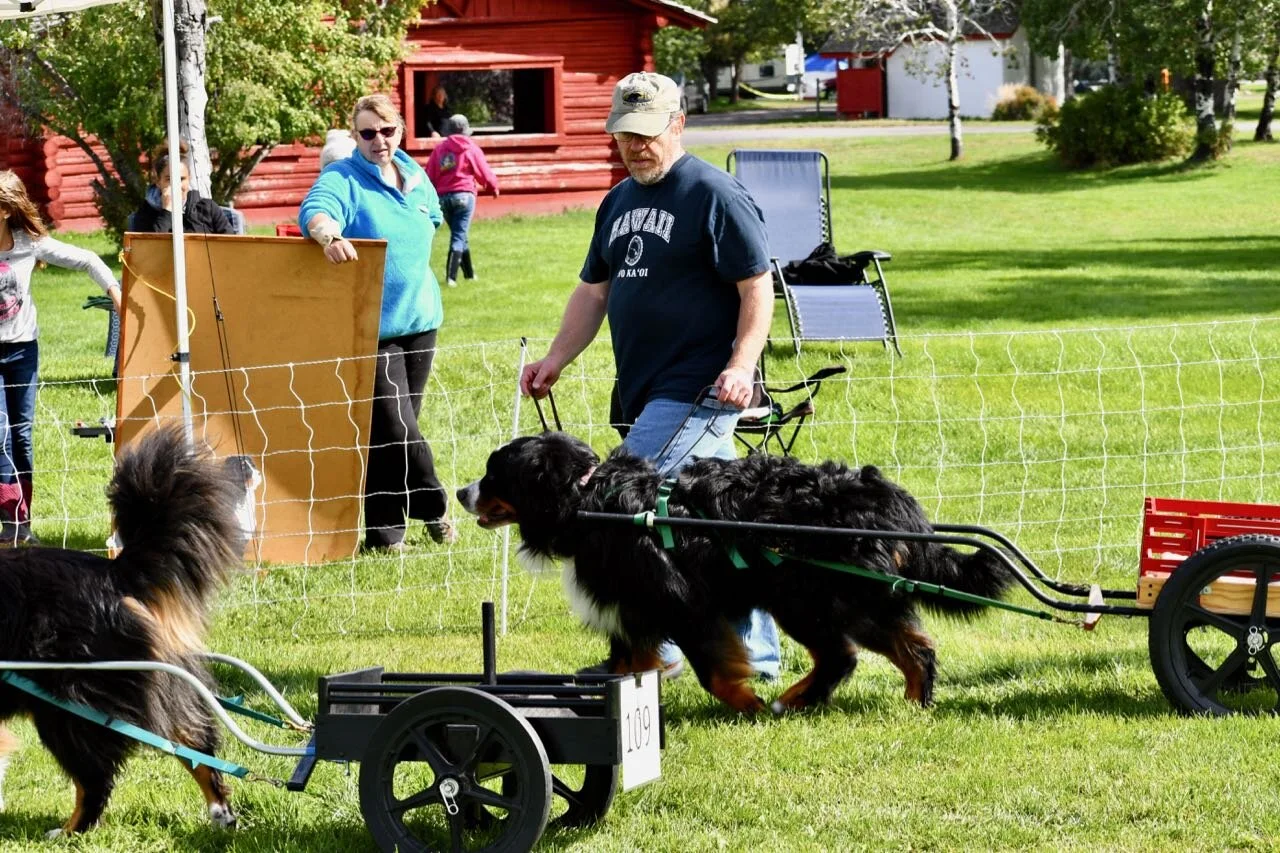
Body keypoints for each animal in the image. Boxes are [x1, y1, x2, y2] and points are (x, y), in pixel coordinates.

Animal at [0, 426, 246, 836]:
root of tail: (113, 574)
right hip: (159, 688)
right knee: (196, 744)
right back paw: (221, 813)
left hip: (70, 706)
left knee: (94, 779)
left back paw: (69, 832)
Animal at [458, 432, 1015, 715]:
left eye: (493, 473)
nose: (462, 491)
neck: (589, 501)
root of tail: (892, 500)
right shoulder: (633, 608)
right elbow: (625, 666)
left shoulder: (683, 605)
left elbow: (713, 671)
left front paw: (748, 701)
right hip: (850, 598)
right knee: (912, 648)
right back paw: (912, 703)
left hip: (809, 597)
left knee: (844, 655)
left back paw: (793, 700)